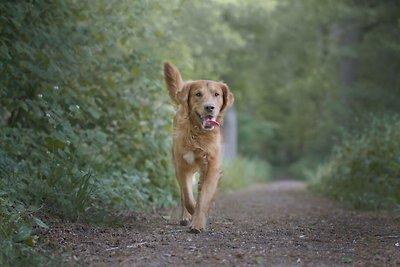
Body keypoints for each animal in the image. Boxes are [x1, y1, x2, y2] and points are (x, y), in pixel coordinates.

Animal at [162, 61, 233, 233]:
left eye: (217, 94)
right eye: (198, 94)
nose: (209, 107)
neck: (199, 134)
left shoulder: (212, 167)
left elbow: (204, 197)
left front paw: (199, 221)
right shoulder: (183, 166)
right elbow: (188, 196)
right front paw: (192, 213)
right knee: (183, 194)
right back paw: (185, 217)